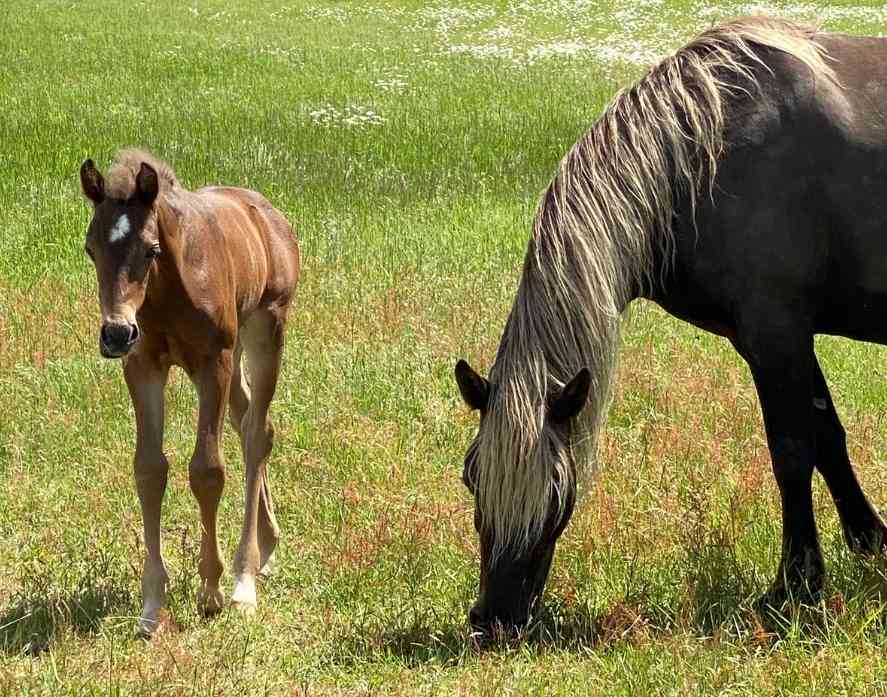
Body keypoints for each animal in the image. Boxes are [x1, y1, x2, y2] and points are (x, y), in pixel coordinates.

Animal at [78, 148, 298, 636]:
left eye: (150, 249)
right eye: (90, 249)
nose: (115, 333)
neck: (170, 287)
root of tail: (269, 214)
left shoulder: (211, 363)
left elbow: (207, 471)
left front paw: (211, 591)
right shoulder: (142, 366)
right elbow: (149, 469)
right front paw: (151, 608)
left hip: (264, 330)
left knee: (257, 434)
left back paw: (244, 581)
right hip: (235, 355)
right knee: (247, 421)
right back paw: (269, 544)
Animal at [454, 17, 887, 632]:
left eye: (559, 490)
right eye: (471, 475)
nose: (494, 618)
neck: (704, 151)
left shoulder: (776, 331)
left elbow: (792, 448)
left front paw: (794, 587)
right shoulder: (768, 339)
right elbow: (827, 437)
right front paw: (870, 542)